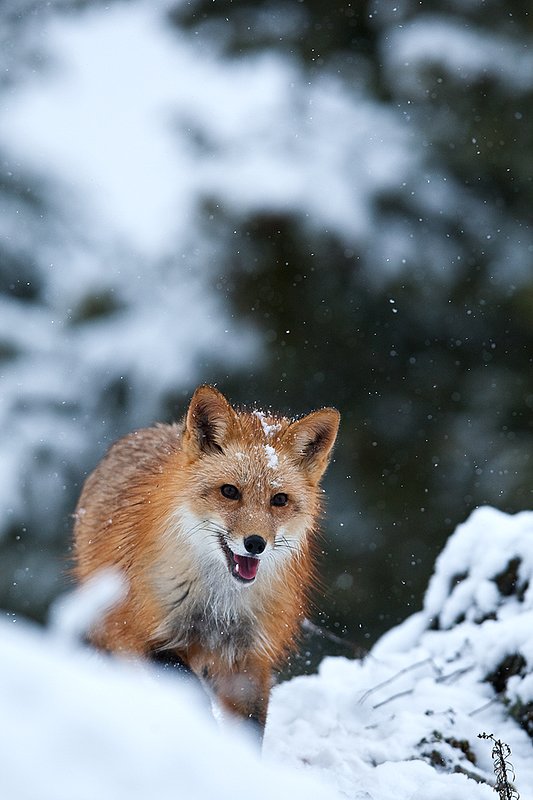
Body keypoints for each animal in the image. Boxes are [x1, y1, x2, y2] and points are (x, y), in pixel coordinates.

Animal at [73, 385, 339, 734]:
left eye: (279, 499)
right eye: (229, 491)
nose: (255, 544)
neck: (217, 604)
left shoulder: (249, 657)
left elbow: (250, 724)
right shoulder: (140, 632)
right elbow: (186, 685)